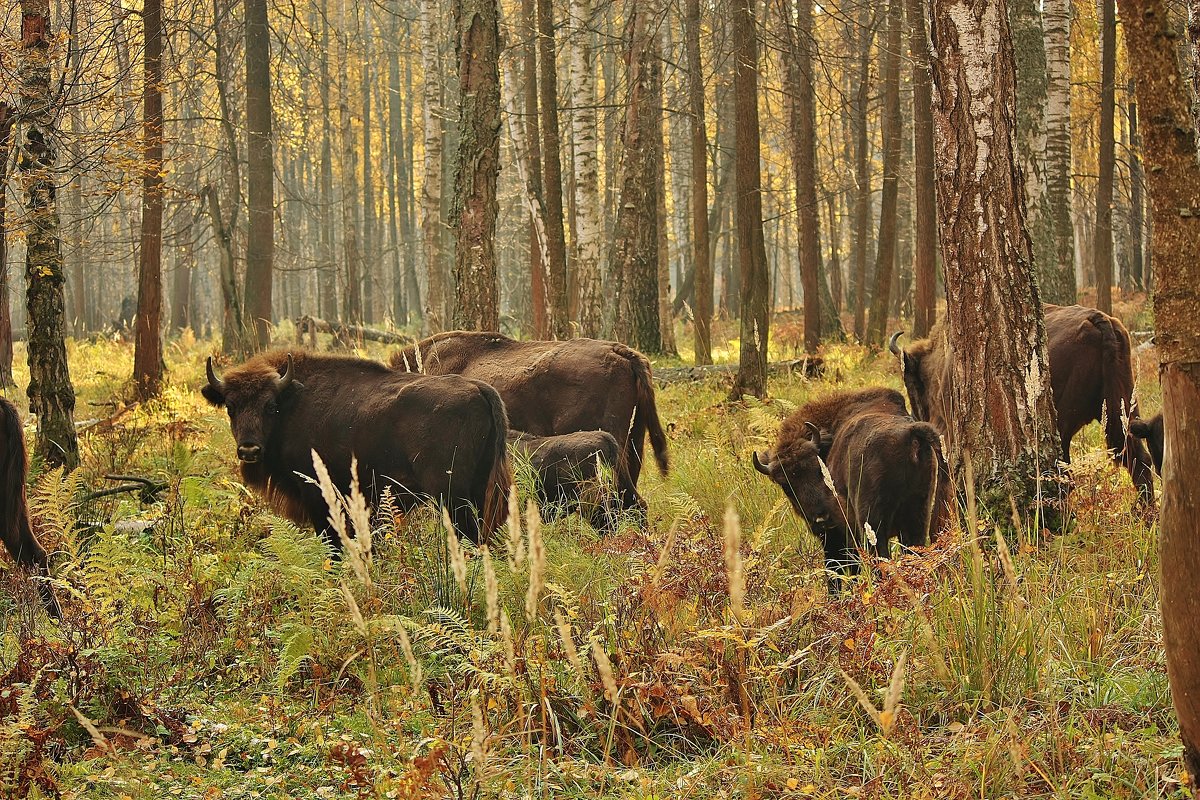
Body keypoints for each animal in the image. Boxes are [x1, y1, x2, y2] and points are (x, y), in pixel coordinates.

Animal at [202, 352, 511, 546]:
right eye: (230, 407)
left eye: (270, 406)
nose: (249, 450)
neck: (291, 401)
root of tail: (480, 389)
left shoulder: (319, 494)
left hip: (452, 495)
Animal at [753, 391, 950, 592]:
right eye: (786, 485)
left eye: (819, 469)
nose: (821, 518)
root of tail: (909, 432)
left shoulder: (836, 536)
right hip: (918, 516)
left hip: (871, 526)